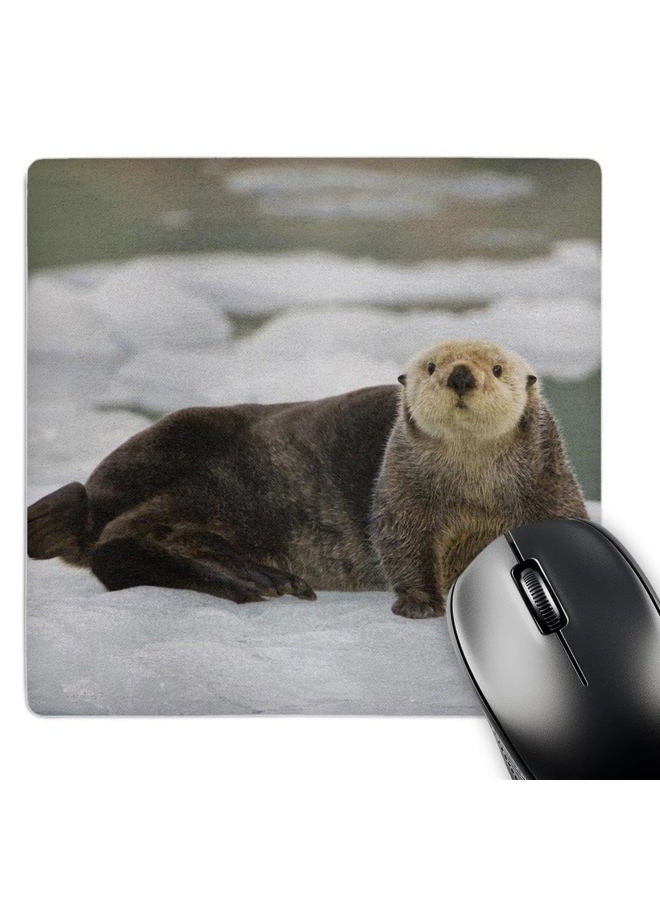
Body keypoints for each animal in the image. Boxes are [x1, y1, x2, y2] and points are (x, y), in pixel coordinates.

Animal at [27, 340, 587, 616]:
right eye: (431, 367)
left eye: (497, 369)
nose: (461, 375)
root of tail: (93, 497)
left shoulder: (550, 488)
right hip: (189, 453)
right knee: (114, 548)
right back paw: (258, 582)